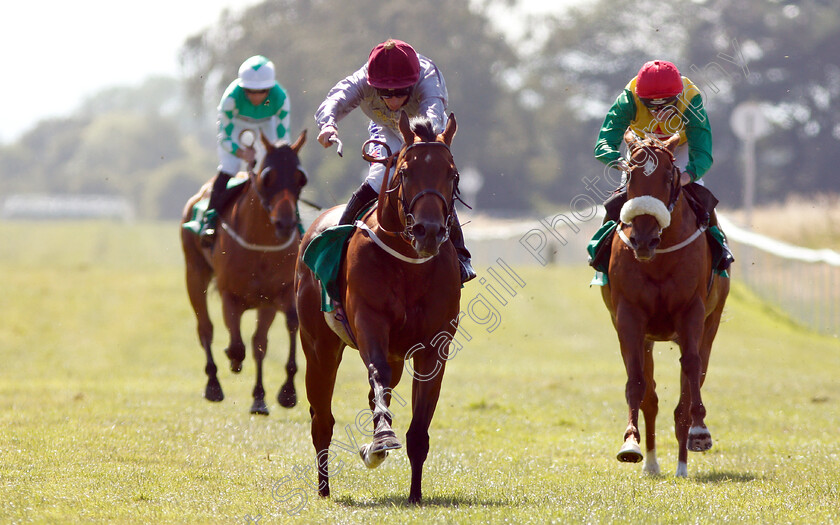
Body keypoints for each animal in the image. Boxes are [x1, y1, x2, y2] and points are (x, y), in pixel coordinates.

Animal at [180, 130, 308, 414]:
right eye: (267, 176)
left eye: (300, 178)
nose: (286, 223)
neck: (260, 246)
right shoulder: (230, 295)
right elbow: (237, 345)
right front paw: (232, 358)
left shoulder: (278, 294)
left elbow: (282, 330)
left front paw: (285, 392)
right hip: (194, 273)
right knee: (205, 328)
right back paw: (214, 384)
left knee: (258, 342)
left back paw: (259, 397)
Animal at [296, 111, 462, 504]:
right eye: (404, 171)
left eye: (452, 174)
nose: (429, 230)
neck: (409, 266)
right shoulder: (370, 323)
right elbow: (377, 377)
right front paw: (381, 440)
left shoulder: (434, 346)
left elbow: (419, 426)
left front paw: (415, 494)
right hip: (319, 346)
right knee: (322, 419)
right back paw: (324, 489)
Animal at [604, 130, 728, 474]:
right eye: (630, 175)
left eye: (670, 177)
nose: (644, 239)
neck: (658, 258)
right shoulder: (629, 316)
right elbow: (637, 381)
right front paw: (630, 443)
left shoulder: (692, 312)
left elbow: (692, 366)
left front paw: (700, 431)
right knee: (651, 397)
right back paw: (652, 463)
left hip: (711, 323)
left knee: (694, 376)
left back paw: (683, 462)